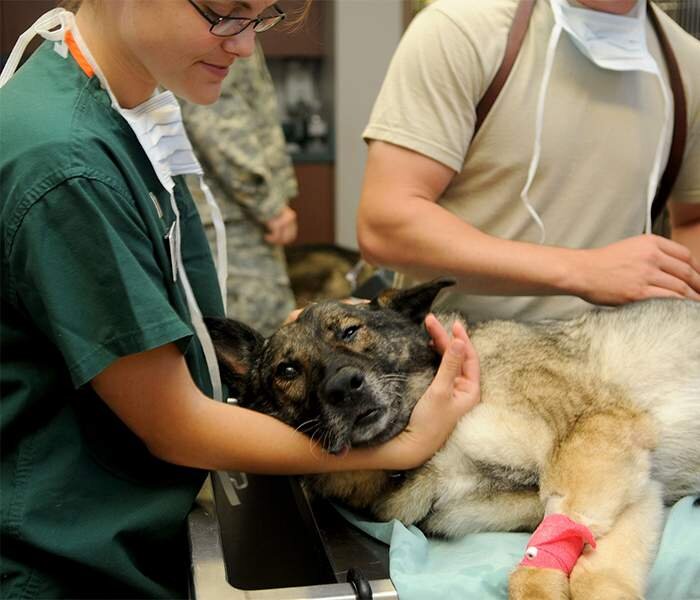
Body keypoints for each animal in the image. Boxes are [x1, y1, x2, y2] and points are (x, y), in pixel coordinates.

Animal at [206, 282, 700, 600]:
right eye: (287, 370)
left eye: (349, 331)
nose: (344, 387)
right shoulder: (630, 486)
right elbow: (589, 565)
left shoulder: (599, 436)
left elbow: (559, 560)